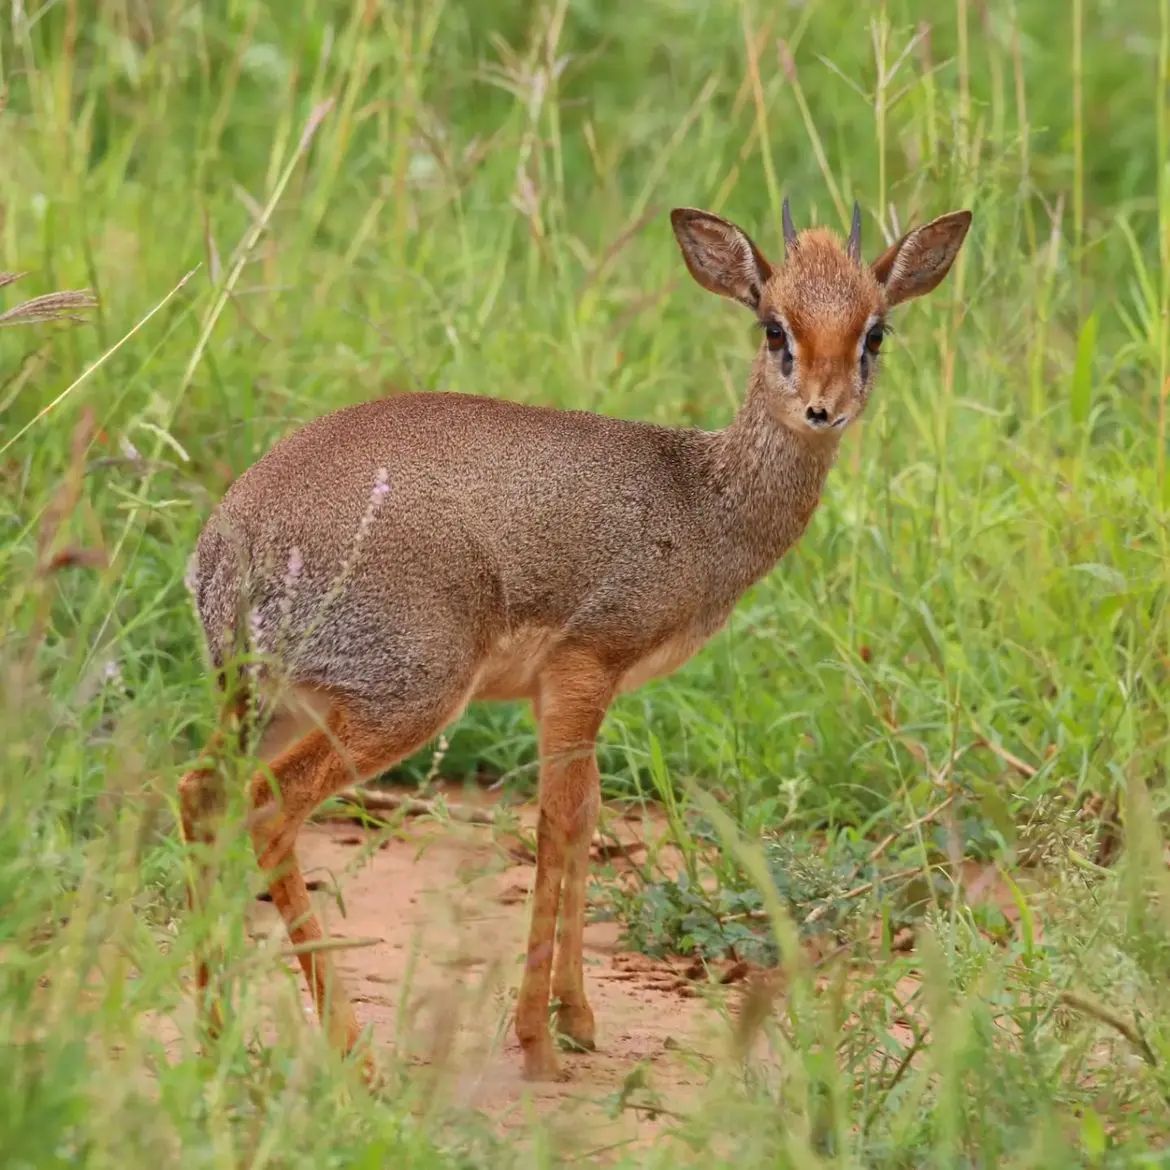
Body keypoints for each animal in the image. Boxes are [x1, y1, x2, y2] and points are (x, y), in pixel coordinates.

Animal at [180, 198, 968, 1076]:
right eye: (775, 328)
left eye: (874, 332)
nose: (825, 409)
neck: (703, 500)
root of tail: (227, 550)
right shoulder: (585, 666)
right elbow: (556, 821)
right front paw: (535, 1039)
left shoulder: (570, 691)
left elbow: (586, 815)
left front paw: (577, 1018)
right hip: (400, 702)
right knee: (268, 805)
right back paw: (355, 1053)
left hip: (277, 702)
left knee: (201, 791)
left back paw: (214, 1034)